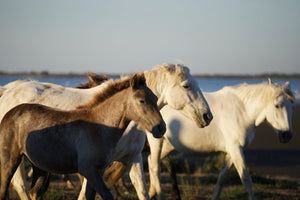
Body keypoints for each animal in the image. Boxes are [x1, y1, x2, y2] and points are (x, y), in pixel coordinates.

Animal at [0, 63, 212, 199]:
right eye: (186, 85)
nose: (207, 116)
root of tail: (7, 91)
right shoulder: (91, 167)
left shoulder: (132, 158)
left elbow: (141, 192)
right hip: (15, 160)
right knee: (20, 186)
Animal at [146, 79, 294, 199]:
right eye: (277, 105)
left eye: (292, 105)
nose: (287, 135)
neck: (242, 111)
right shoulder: (236, 149)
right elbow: (246, 179)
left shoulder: (231, 151)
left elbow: (222, 178)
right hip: (156, 142)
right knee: (154, 166)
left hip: (167, 145)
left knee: (151, 162)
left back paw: (151, 192)